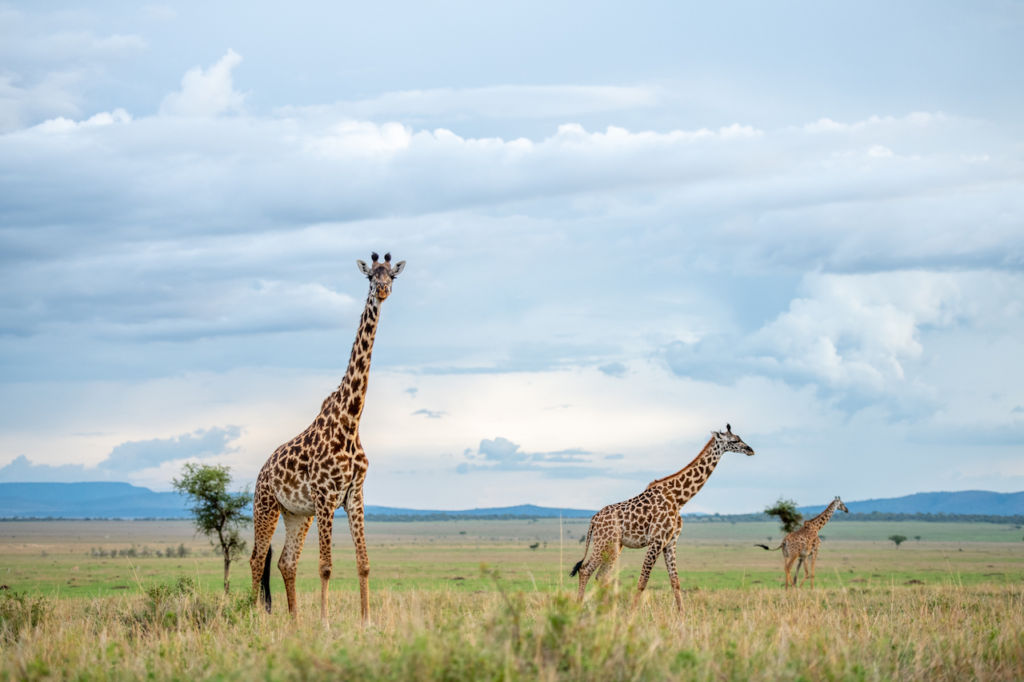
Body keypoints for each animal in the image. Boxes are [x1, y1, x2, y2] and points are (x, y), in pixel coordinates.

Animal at [249, 250, 405, 626]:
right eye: (370, 277)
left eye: (392, 275)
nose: (382, 290)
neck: (351, 421)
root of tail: (261, 472)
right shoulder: (325, 497)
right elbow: (326, 566)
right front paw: (325, 623)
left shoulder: (354, 496)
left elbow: (364, 564)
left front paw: (366, 622)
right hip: (266, 506)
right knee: (257, 558)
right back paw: (253, 616)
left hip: (296, 514)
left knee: (285, 562)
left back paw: (294, 622)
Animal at [573, 425, 757, 610]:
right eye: (733, 440)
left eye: (739, 437)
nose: (750, 450)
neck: (679, 498)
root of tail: (593, 520)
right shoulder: (657, 540)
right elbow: (642, 581)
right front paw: (632, 612)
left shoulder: (670, 541)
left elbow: (675, 581)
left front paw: (682, 614)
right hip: (604, 542)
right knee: (586, 570)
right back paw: (580, 607)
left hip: (615, 545)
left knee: (601, 575)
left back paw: (604, 609)